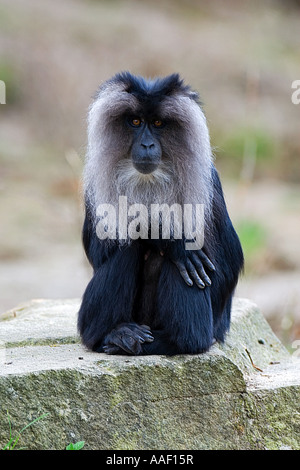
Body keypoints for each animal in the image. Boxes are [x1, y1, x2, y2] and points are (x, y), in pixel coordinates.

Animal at [78, 71, 244, 354]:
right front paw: (166, 237)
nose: (146, 144)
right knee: (131, 249)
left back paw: (179, 340)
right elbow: (99, 252)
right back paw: (114, 335)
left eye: (157, 123)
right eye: (135, 122)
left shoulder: (210, 184)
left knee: (182, 262)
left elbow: (227, 263)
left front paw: (171, 238)